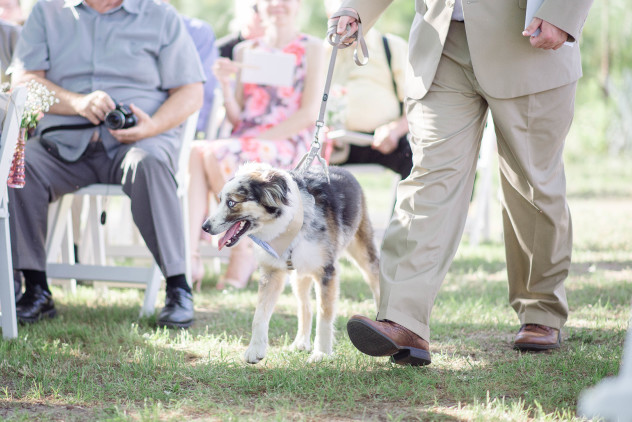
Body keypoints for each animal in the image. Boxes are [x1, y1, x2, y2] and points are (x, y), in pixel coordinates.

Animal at [204, 163, 380, 364]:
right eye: (219, 200)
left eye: (231, 203)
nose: (205, 227)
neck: (288, 224)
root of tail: (341, 169)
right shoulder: (271, 272)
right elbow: (259, 315)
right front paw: (255, 349)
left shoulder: (327, 271)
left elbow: (325, 314)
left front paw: (322, 353)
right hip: (299, 275)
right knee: (305, 307)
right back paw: (301, 342)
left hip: (365, 254)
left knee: (377, 285)